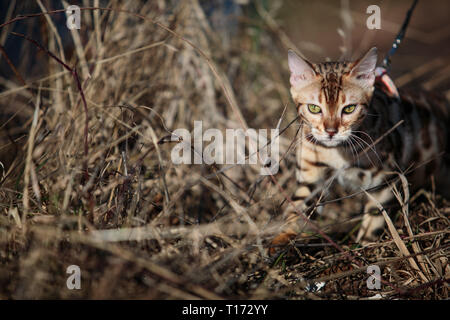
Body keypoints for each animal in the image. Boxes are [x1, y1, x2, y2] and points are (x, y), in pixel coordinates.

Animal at [270, 47, 450, 252]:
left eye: (349, 109)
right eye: (314, 108)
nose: (331, 131)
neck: (336, 152)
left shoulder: (385, 179)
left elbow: (376, 217)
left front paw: (365, 245)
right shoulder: (312, 179)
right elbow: (297, 209)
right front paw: (282, 240)